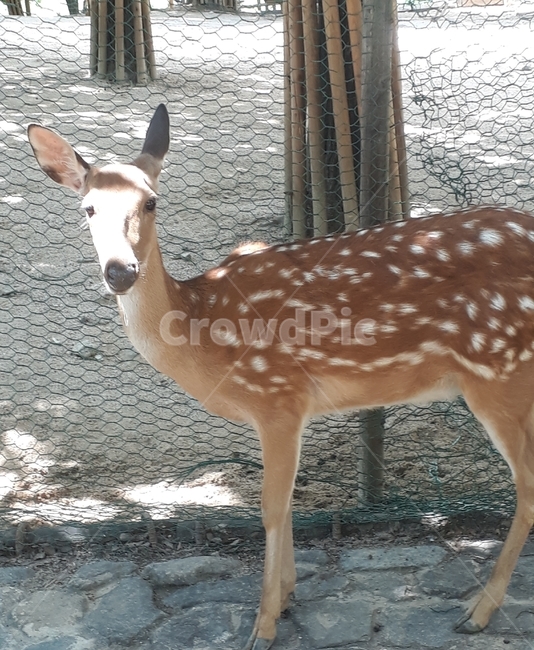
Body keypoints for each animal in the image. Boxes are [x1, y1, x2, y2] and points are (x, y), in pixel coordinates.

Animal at [27, 104, 534, 649]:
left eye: (151, 202)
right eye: (87, 208)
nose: (120, 271)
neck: (201, 329)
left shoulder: (278, 396)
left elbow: (271, 506)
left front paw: (264, 624)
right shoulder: (287, 408)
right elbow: (288, 503)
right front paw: (287, 596)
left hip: (499, 372)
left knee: (527, 487)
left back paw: (478, 611)